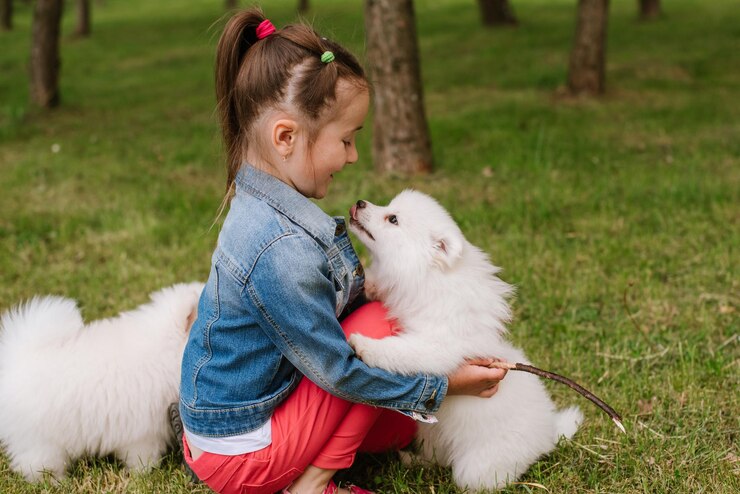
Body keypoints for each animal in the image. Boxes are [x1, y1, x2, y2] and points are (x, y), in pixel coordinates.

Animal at [0, 284, 204, 480]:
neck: (164, 352)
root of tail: (18, 360)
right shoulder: (142, 433)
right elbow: (143, 457)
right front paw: (144, 474)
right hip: (42, 443)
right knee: (38, 466)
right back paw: (56, 482)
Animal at [346, 191, 584, 492]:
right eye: (388, 207)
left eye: (393, 219)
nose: (360, 202)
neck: (429, 277)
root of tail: (549, 433)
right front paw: (370, 284)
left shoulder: (437, 345)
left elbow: (401, 352)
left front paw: (362, 343)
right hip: (432, 432)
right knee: (436, 456)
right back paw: (412, 459)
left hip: (477, 467)